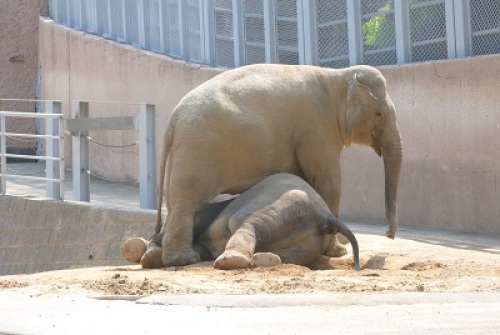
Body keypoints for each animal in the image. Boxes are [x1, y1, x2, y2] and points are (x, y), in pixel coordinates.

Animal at [124, 175, 360, 272]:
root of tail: (326, 217)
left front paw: (147, 256)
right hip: (305, 243)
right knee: (285, 256)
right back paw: (263, 260)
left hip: (287, 203)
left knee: (245, 223)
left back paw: (230, 262)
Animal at [159, 64, 402, 266]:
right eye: (379, 114)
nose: (389, 234)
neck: (338, 75)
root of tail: (172, 119)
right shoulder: (316, 128)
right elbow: (328, 181)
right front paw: (337, 252)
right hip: (197, 151)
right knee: (186, 201)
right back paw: (183, 260)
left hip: (181, 154)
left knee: (174, 200)